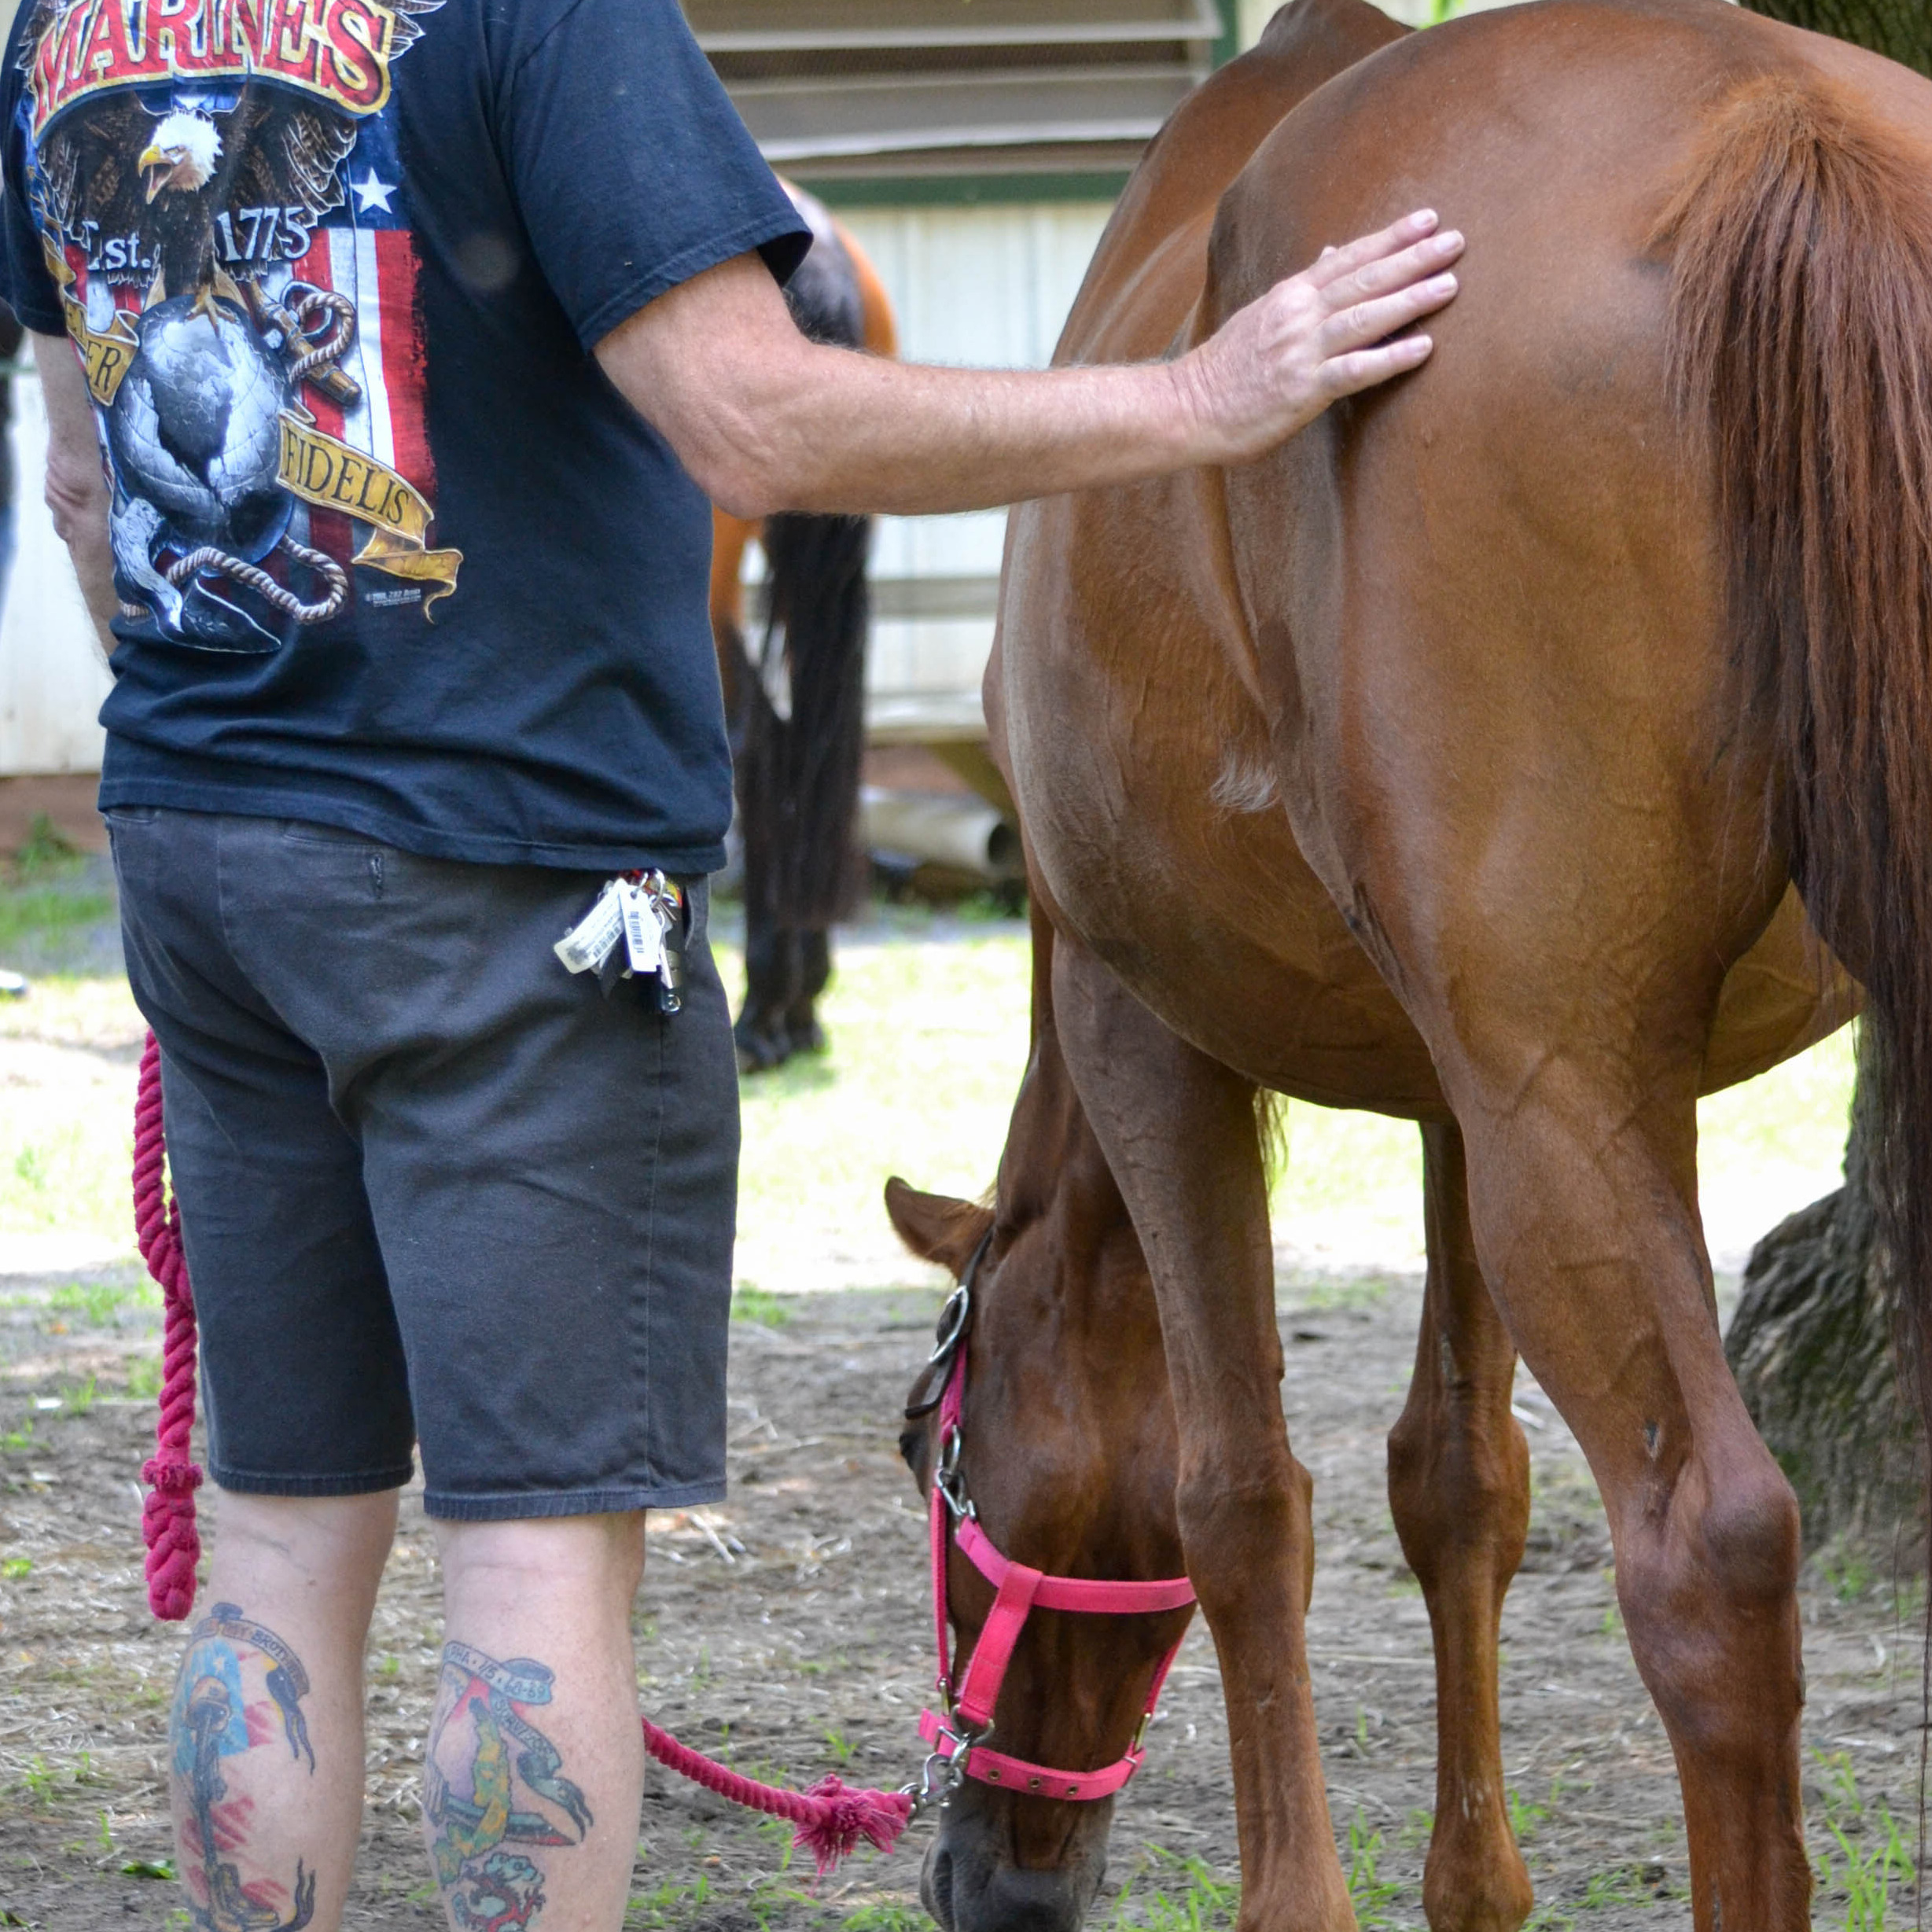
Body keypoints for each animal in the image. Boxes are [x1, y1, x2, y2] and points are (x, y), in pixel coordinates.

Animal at [882, 0, 1932, 1926]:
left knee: (1710, 1552)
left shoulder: (1145, 1031)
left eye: (934, 1454)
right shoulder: (1461, 1095)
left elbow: (1237, 1492)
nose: (986, 1875)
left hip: (1558, 1100)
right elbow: (1456, 1479)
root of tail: (1776, 123)